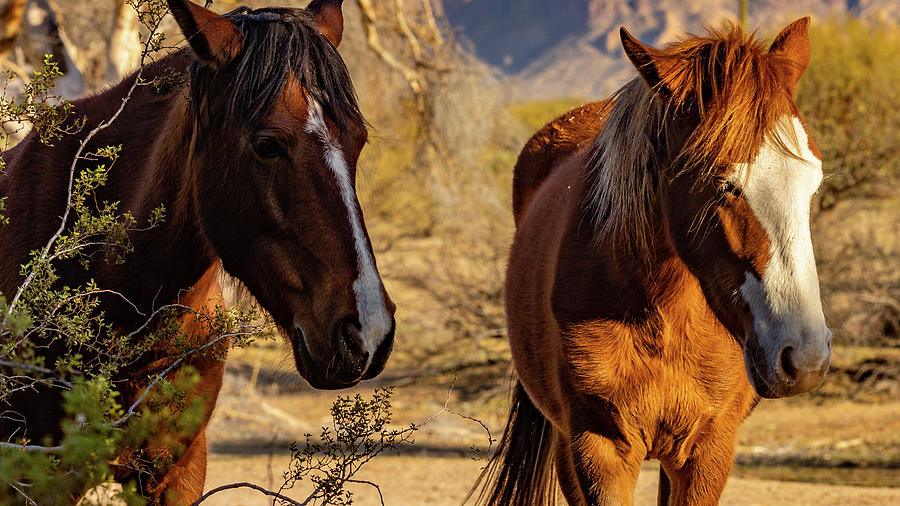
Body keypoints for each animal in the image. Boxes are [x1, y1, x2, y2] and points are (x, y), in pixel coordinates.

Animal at [474, 17, 832, 504]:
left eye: (813, 183)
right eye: (723, 184)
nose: (806, 358)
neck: (662, 313)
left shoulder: (707, 451)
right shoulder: (600, 452)